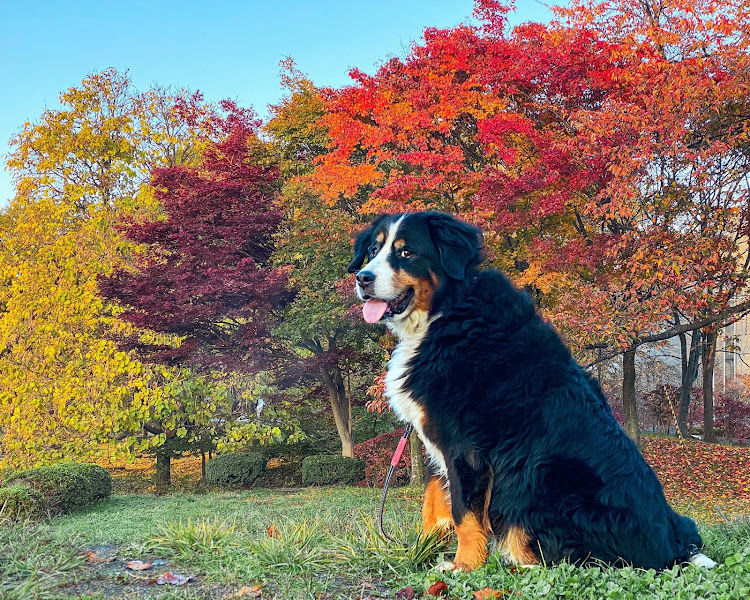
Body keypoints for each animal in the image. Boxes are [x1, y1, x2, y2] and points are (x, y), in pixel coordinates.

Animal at [348, 211, 716, 572]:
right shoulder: (436, 440)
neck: (447, 313)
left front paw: (465, 566)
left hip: (535, 480)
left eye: (407, 253)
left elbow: (464, 514)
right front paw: (422, 553)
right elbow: (434, 501)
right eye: (373, 251)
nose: (363, 278)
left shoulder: (464, 447)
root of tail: (673, 545)